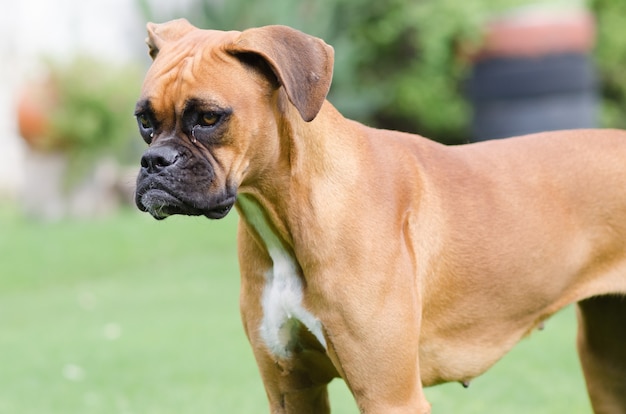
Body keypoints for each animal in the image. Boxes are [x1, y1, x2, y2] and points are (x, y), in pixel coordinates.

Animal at [133, 17, 624, 412]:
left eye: (209, 118)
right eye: (144, 121)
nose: (154, 162)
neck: (286, 213)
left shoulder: (389, 396)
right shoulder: (292, 390)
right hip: (605, 366)